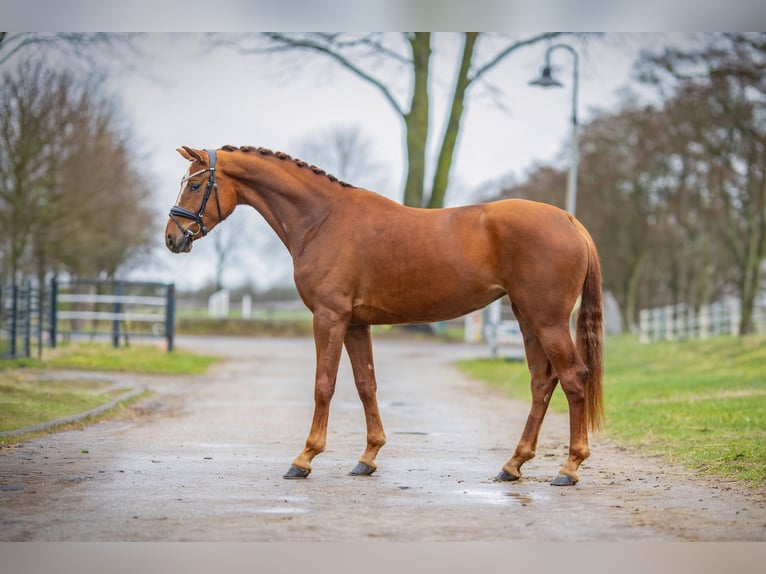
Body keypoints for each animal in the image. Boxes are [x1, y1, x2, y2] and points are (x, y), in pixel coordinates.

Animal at [165, 145, 604, 486]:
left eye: (195, 185)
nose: (172, 238)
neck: (323, 219)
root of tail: (570, 221)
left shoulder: (329, 317)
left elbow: (324, 385)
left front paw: (305, 458)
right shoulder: (357, 323)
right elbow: (366, 385)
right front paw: (368, 458)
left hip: (546, 319)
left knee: (573, 377)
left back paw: (569, 467)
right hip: (526, 317)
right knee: (542, 382)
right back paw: (513, 465)